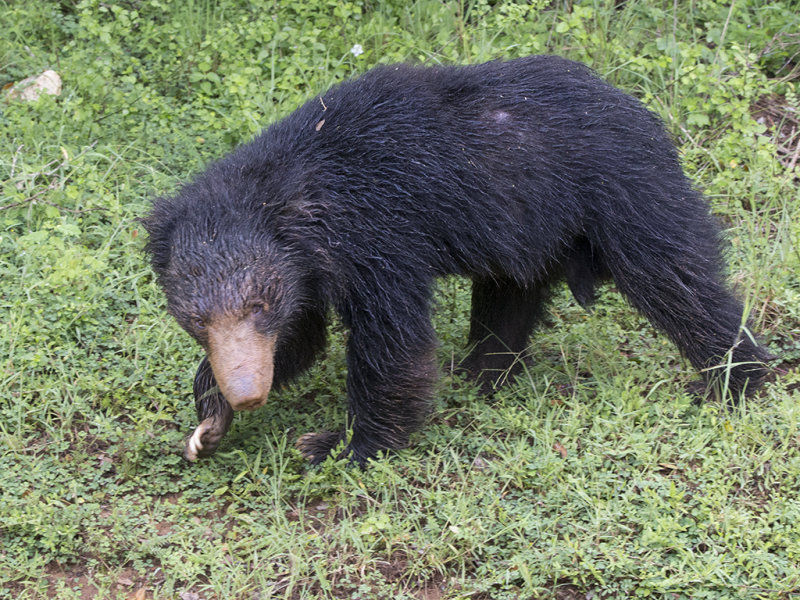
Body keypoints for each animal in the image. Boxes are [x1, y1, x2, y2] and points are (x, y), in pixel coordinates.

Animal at [142, 54, 768, 464]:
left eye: (258, 304)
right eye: (196, 319)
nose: (248, 392)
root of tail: (641, 110)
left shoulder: (380, 236)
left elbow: (392, 343)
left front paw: (341, 446)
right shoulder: (311, 270)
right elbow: (303, 339)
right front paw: (207, 422)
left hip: (625, 194)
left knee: (677, 281)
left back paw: (734, 381)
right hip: (529, 235)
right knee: (508, 303)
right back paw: (483, 377)